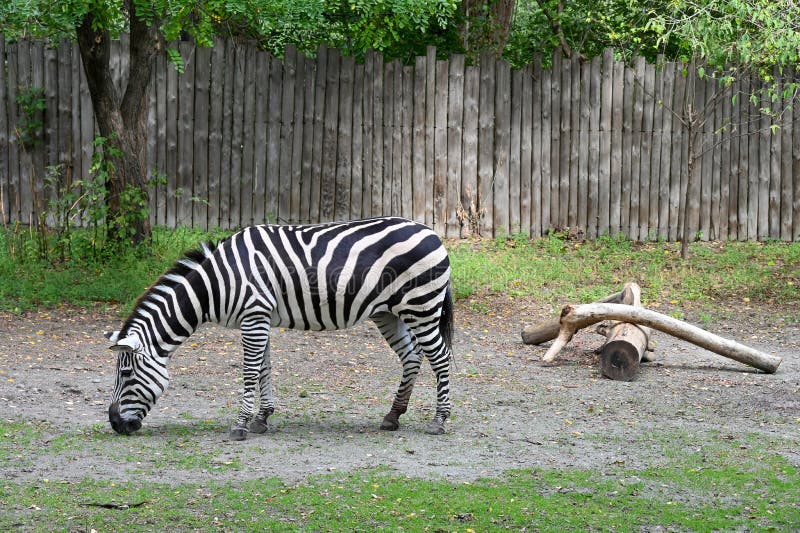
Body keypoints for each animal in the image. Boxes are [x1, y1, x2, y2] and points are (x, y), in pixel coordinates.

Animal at [105, 217, 454, 440]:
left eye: (126, 374)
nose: (114, 423)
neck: (217, 282)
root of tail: (431, 232)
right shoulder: (258, 317)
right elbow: (264, 369)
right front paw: (262, 418)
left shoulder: (254, 317)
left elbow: (249, 371)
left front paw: (241, 425)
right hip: (389, 313)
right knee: (412, 357)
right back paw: (393, 415)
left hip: (421, 306)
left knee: (441, 358)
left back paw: (439, 420)